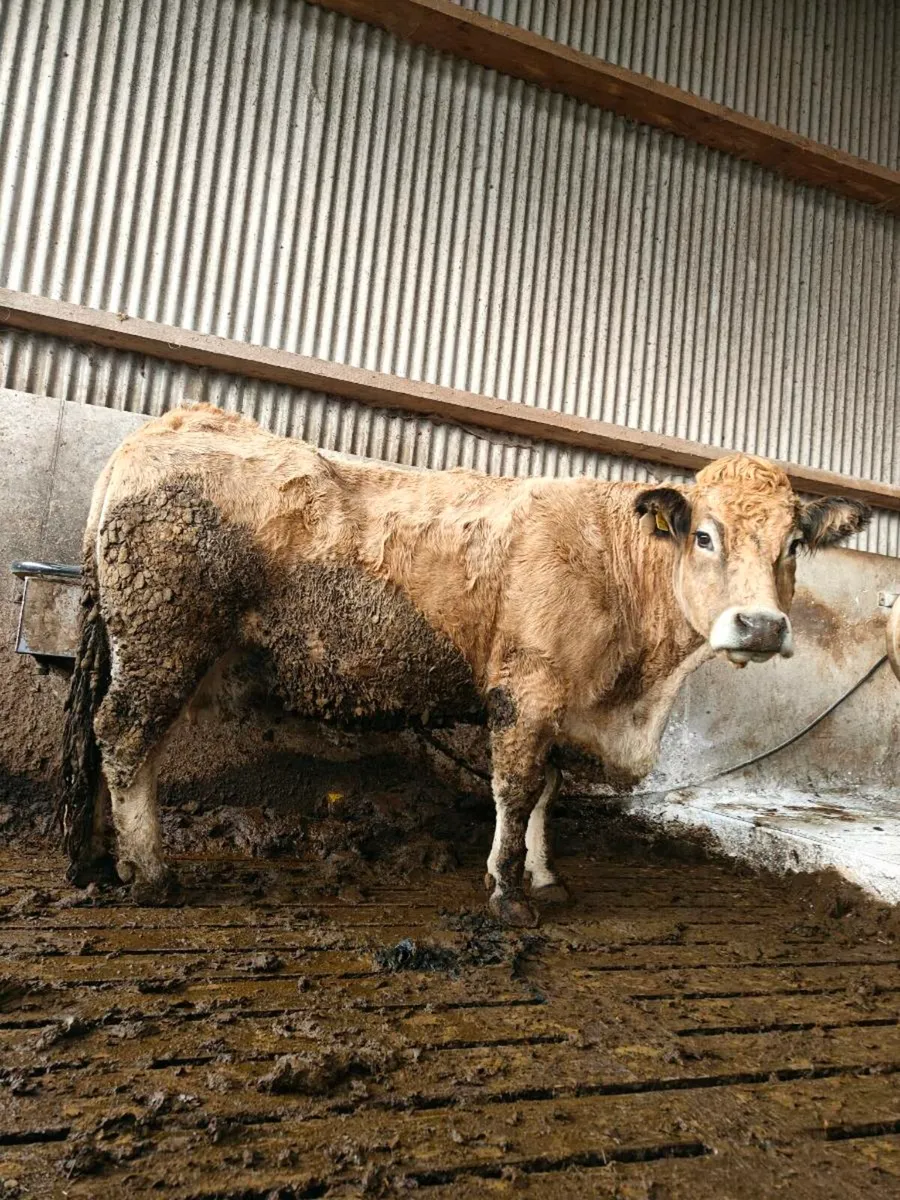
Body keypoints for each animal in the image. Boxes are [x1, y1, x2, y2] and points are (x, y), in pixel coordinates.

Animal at [59, 404, 870, 925]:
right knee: (125, 737)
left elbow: (546, 792)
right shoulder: (527, 689)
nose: (761, 626)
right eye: (704, 535)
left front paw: (545, 879)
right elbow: (515, 790)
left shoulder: (560, 699)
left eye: (795, 544)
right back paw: (151, 873)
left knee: (107, 740)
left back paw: (98, 861)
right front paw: (507, 893)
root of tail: (165, 427)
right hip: (165, 639)